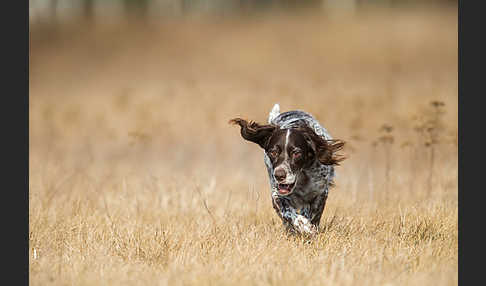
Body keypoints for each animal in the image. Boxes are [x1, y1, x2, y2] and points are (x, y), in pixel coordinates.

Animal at [229, 104, 346, 233]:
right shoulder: (277, 194)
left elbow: (312, 212)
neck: (302, 178)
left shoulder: (321, 192)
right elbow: (287, 212)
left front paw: (309, 227)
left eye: (296, 153)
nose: (279, 175)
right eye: (273, 152)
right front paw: (303, 226)